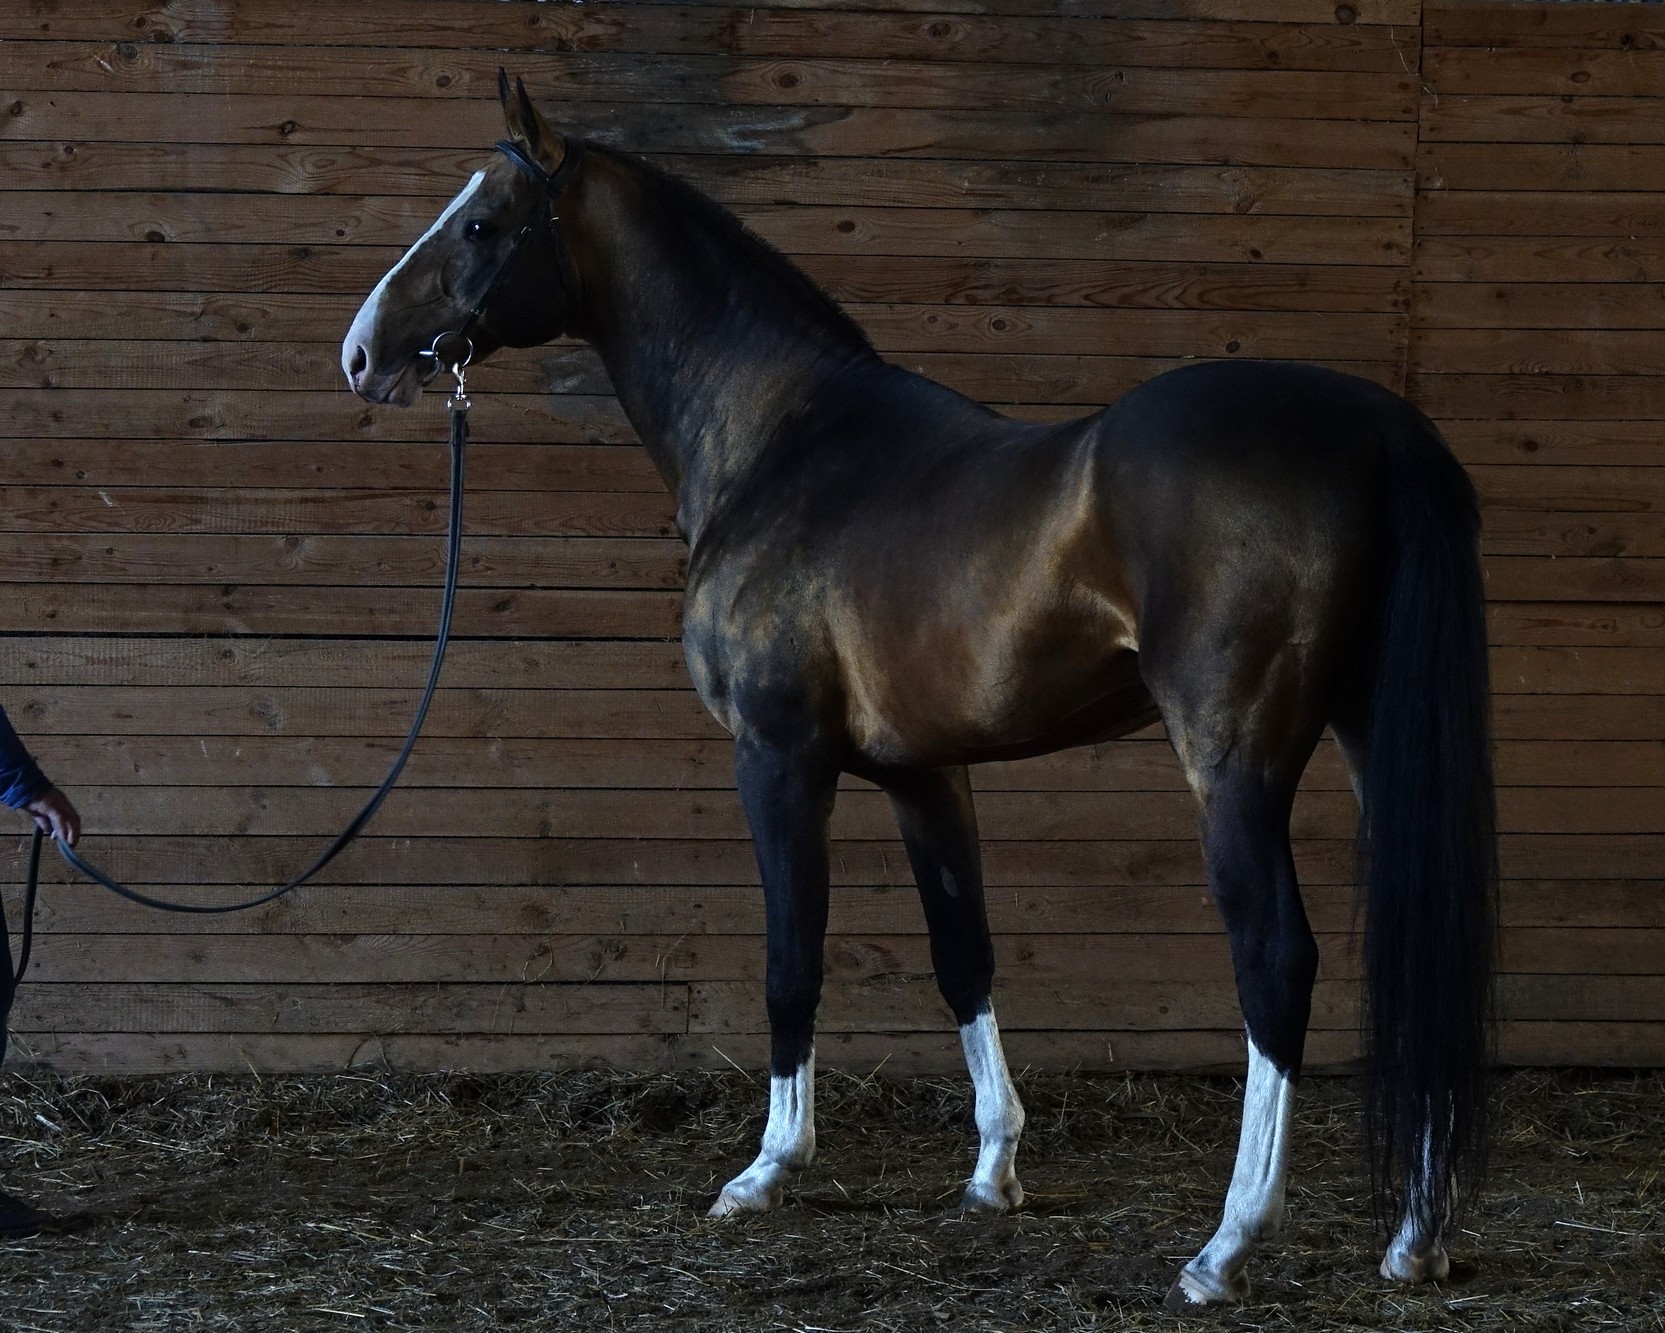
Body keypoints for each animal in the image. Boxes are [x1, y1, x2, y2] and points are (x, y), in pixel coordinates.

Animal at [337, 75, 1498, 1311]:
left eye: (479, 223)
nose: (362, 352)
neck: (780, 442)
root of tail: (1383, 431)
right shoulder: (922, 771)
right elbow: (962, 954)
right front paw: (992, 1170)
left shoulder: (778, 756)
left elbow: (791, 957)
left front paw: (767, 1169)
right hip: (1375, 742)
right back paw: (1414, 1238)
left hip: (1233, 763)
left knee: (1275, 961)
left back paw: (1225, 1244)